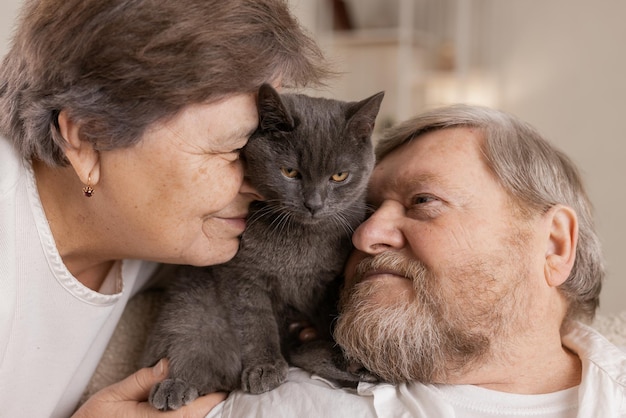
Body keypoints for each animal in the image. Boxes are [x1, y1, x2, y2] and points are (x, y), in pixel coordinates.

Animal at [141, 83, 382, 410]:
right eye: (290, 172)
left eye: (339, 176)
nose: (314, 204)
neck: (298, 241)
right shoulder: (242, 275)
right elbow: (256, 322)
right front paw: (265, 368)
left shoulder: (330, 282)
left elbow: (330, 318)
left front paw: (342, 356)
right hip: (194, 307)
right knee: (193, 347)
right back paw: (175, 386)